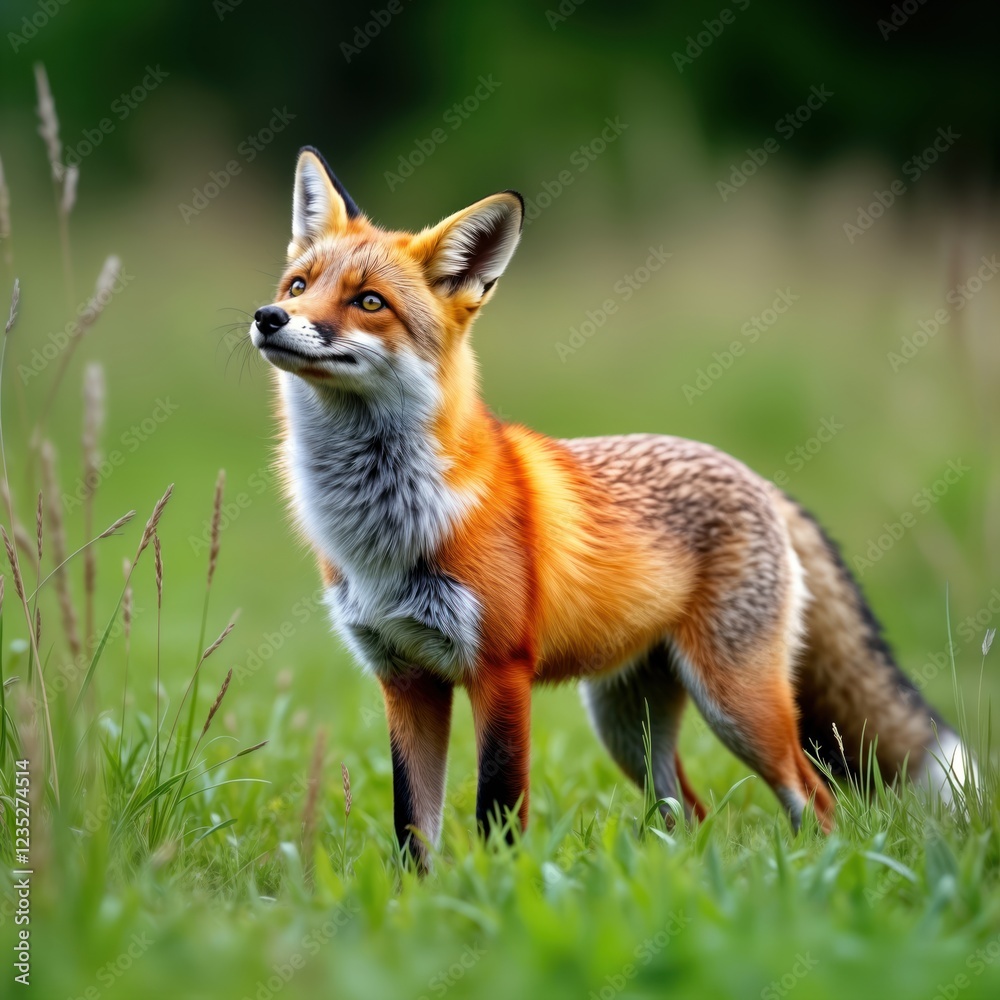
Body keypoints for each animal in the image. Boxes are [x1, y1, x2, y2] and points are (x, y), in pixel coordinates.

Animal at [250, 145, 972, 865]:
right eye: (298, 286)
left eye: (369, 302)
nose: (268, 317)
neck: (382, 530)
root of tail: (753, 476)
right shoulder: (403, 678)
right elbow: (411, 830)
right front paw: (420, 894)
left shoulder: (500, 671)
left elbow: (498, 811)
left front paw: (498, 887)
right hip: (628, 724)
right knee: (692, 812)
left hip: (737, 706)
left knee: (817, 799)